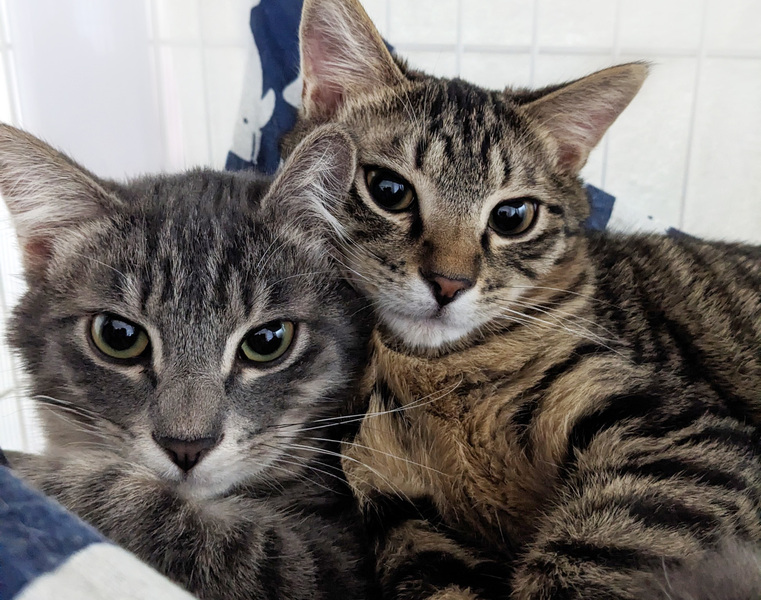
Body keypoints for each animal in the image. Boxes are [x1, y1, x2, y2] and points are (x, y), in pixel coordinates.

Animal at [0, 122, 378, 600]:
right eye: (118, 336)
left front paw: (30, 471)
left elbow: (160, 516)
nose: (187, 446)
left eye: (268, 340)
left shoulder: (325, 561)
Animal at [283, 0, 761, 598]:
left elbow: (593, 554)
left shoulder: (685, 435)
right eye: (388, 190)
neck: (435, 375)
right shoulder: (396, 503)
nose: (449, 283)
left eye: (513, 216)